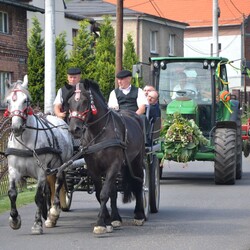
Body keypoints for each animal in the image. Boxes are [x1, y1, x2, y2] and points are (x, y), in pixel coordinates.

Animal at [4, 76, 73, 234]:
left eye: (26, 100)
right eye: (8, 101)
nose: (16, 127)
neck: (24, 142)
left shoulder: (41, 171)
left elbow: (38, 197)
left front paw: (37, 224)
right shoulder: (13, 170)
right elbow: (12, 193)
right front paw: (14, 220)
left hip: (60, 166)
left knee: (58, 185)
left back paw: (53, 213)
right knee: (50, 190)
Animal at [67, 80, 146, 234]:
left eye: (85, 101)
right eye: (69, 102)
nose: (74, 129)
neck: (99, 131)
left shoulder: (113, 165)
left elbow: (104, 194)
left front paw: (100, 223)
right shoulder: (94, 168)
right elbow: (101, 193)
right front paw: (107, 221)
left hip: (136, 161)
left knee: (139, 183)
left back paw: (140, 215)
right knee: (114, 191)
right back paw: (116, 218)